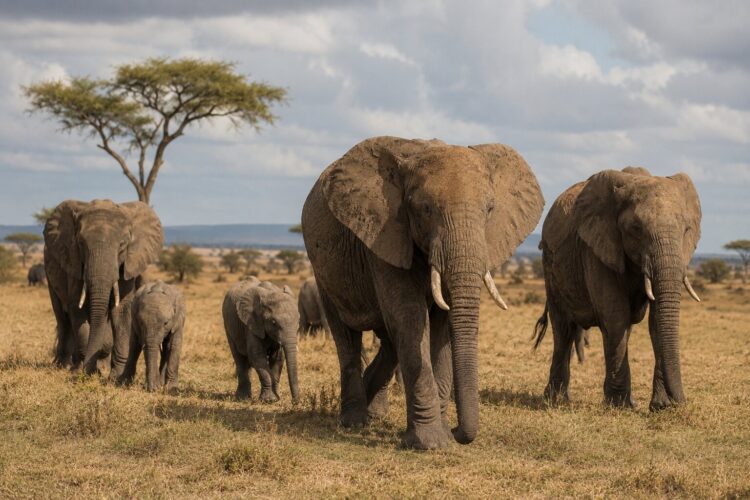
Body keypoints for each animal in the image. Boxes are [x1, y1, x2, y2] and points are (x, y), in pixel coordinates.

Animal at [44, 199, 163, 376]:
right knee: (62, 317)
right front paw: (81, 371)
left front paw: (115, 374)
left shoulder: (127, 265)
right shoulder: (74, 261)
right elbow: (76, 307)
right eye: (80, 243)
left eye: (122, 245)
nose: (89, 370)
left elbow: (121, 310)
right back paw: (63, 366)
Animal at [302, 136, 544, 449]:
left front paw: (443, 436)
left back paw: (374, 410)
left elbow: (441, 326)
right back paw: (354, 421)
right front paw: (431, 443)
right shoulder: (384, 234)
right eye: (426, 209)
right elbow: (410, 317)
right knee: (347, 337)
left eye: (490, 209)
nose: (458, 430)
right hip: (323, 271)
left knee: (390, 341)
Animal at [533, 167, 701, 410]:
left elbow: (655, 321)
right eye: (636, 229)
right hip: (550, 265)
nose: (681, 403)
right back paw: (557, 400)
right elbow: (615, 316)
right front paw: (621, 406)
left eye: (686, 229)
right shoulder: (595, 248)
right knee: (563, 328)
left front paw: (661, 406)